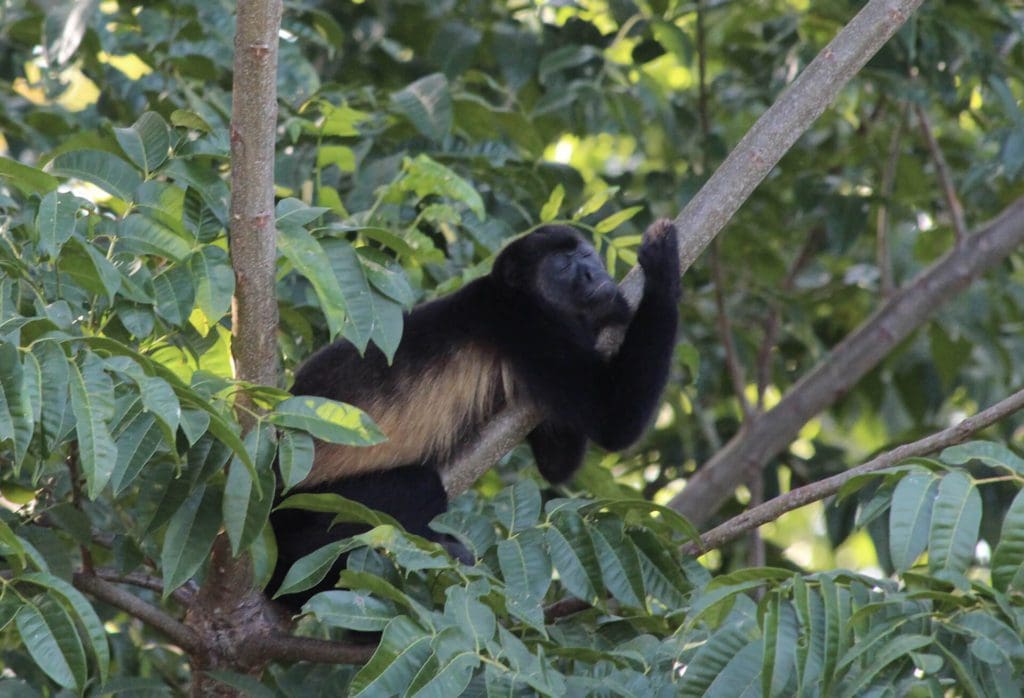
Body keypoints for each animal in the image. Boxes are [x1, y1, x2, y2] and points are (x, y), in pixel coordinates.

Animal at [270, 220, 679, 605]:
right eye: (563, 265)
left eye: (587, 255)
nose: (594, 273)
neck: (518, 297)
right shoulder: (530, 329)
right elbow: (615, 420)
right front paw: (663, 264)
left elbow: (557, 465)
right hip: (306, 507)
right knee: (418, 486)